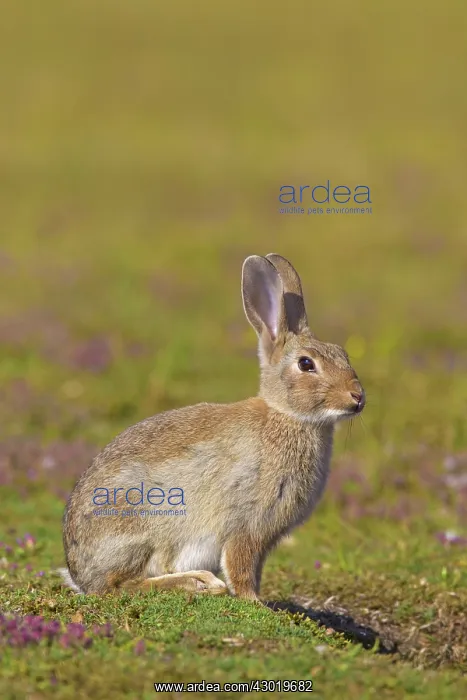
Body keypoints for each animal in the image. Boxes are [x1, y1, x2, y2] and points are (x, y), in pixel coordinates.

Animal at [60, 253, 365, 601]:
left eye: (343, 354)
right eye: (305, 364)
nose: (357, 397)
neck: (286, 415)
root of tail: (79, 574)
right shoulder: (246, 523)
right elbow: (241, 565)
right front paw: (255, 602)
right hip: (142, 526)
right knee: (119, 586)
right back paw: (197, 582)